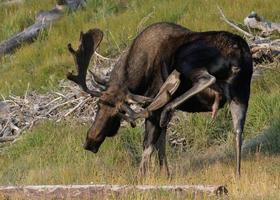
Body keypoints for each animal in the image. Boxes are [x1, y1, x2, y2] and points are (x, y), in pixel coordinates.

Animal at [66, 22, 253, 177]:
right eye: (98, 105)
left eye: (117, 115)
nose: (90, 142)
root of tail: (238, 51)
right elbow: (161, 145)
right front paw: (166, 175)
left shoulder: (152, 108)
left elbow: (148, 146)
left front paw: (141, 179)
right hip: (241, 93)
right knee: (238, 130)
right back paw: (237, 174)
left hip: (185, 60)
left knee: (207, 79)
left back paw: (170, 102)